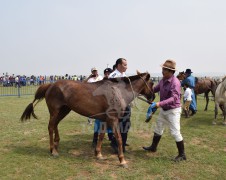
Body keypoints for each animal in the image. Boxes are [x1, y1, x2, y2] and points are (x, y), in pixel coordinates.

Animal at [20, 71, 154, 167]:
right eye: (152, 83)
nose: (152, 97)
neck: (117, 91)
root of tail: (51, 85)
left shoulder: (105, 120)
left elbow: (101, 136)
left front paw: (98, 154)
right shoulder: (113, 119)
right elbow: (119, 139)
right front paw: (122, 160)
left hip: (64, 111)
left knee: (55, 125)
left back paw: (56, 146)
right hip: (55, 112)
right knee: (51, 127)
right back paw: (53, 150)